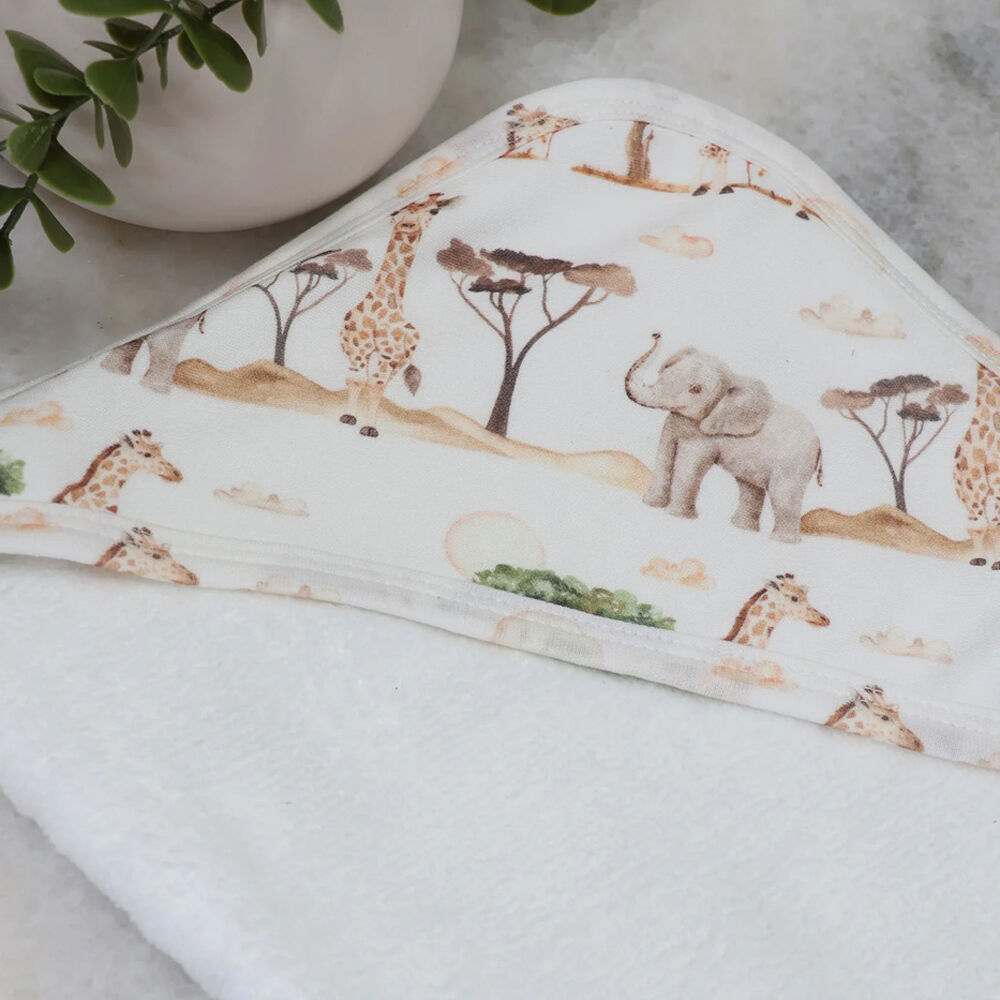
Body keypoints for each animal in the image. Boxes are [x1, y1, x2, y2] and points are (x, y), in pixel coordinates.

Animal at [337, 192, 456, 438]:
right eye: (396, 212)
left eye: (434, 211)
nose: (408, 224)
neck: (383, 301)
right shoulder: (357, 348)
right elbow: (355, 380)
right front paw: (348, 417)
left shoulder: (389, 354)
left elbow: (375, 385)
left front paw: (369, 427)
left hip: (400, 359)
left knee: (382, 384)